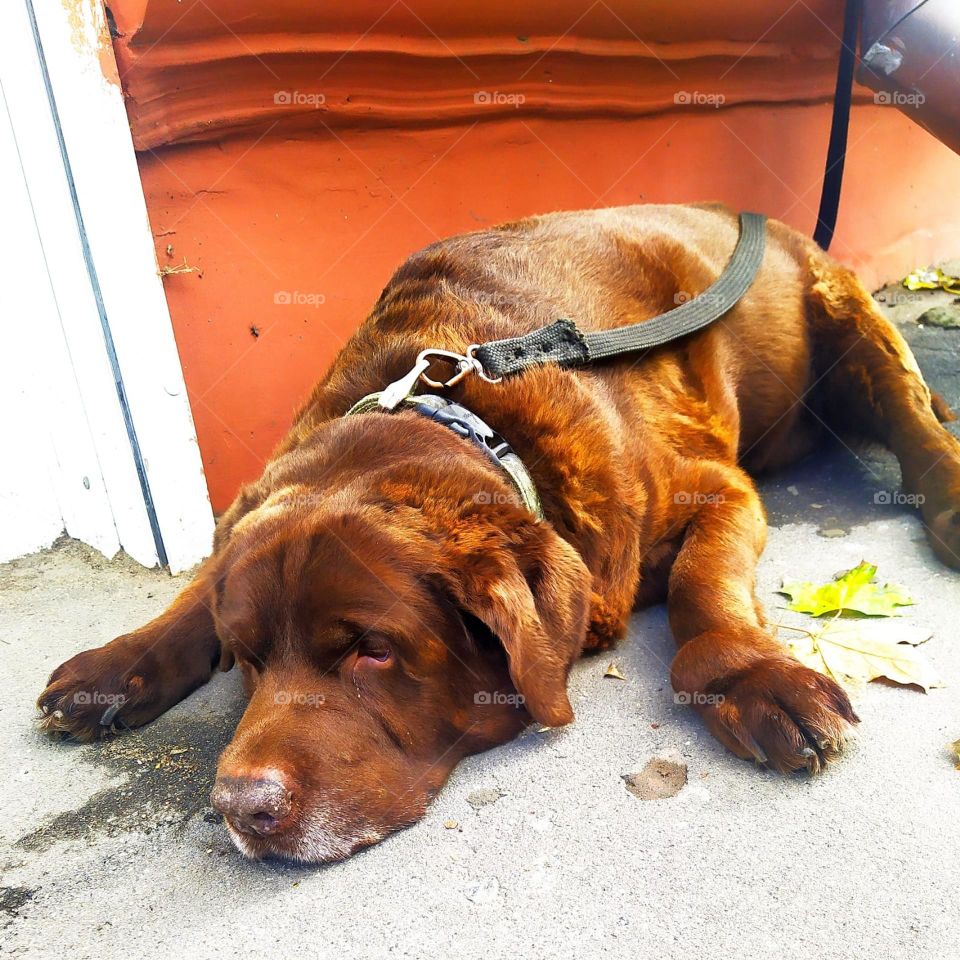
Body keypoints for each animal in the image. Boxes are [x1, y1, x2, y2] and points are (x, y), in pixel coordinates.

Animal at [37, 204, 960, 864]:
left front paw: (753, 677)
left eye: (373, 651)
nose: (240, 809)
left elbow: (705, 587)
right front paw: (118, 665)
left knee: (914, 415)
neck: (456, 414)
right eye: (248, 658)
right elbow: (199, 587)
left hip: (848, 313)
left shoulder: (716, 489)